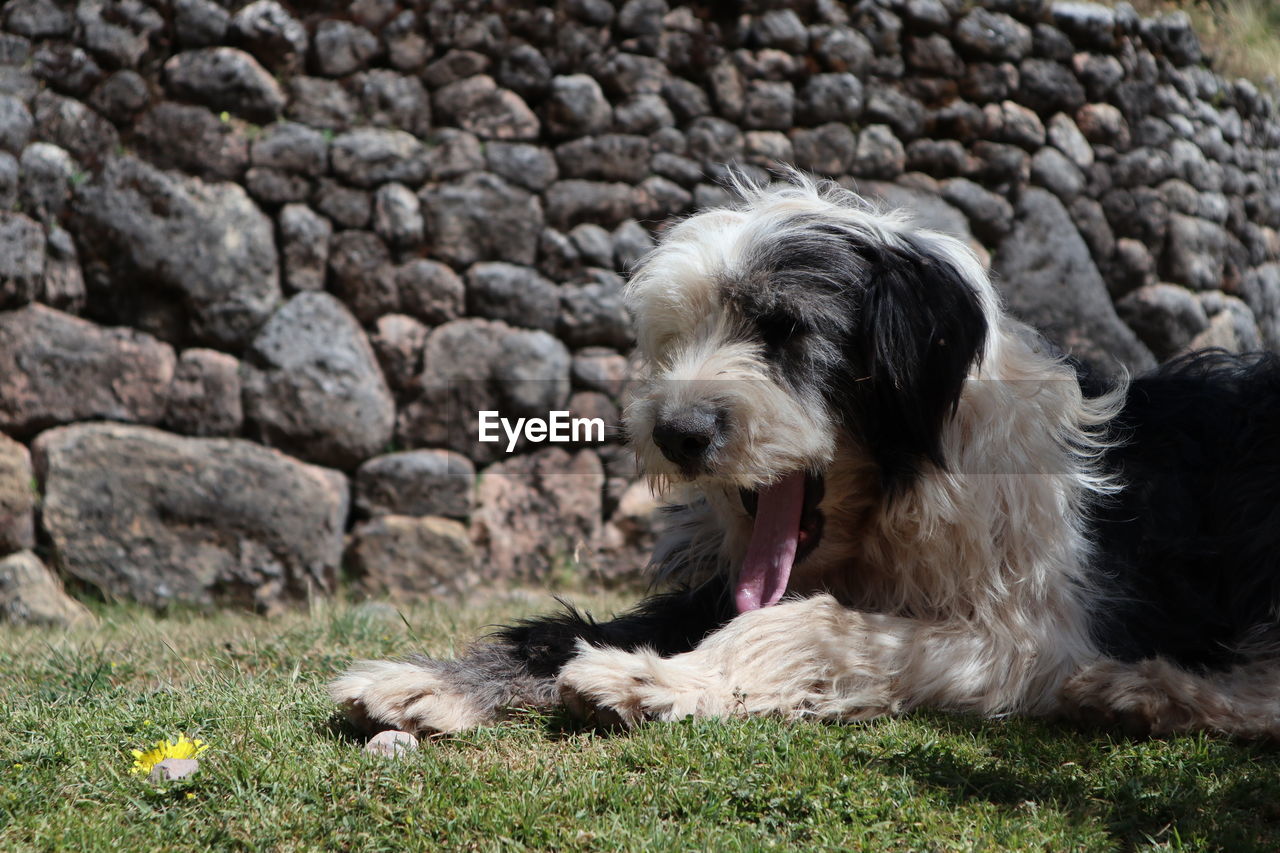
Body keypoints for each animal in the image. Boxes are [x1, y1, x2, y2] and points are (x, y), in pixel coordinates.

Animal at [330, 175, 1280, 732]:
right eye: (672, 337)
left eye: (784, 326)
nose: (678, 432)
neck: (902, 498)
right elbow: (582, 624)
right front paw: (435, 681)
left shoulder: (1030, 635)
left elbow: (811, 622)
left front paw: (660, 680)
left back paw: (1152, 692)